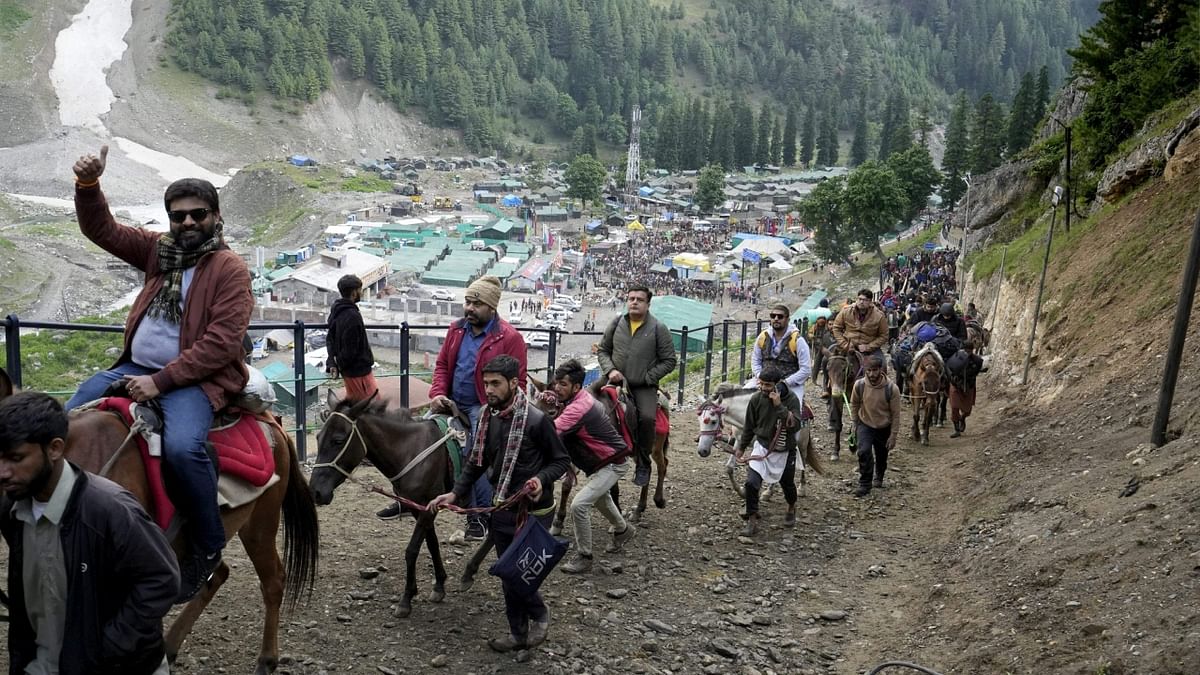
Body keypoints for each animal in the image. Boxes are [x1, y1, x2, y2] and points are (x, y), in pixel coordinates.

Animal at [0, 367, 319, 672]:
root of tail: (272, 422)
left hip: (260, 523)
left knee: (273, 581)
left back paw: (266, 660)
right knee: (214, 575)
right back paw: (172, 646)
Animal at [309, 391, 458, 619]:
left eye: (338, 440)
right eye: (318, 438)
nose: (316, 491)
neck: (411, 450)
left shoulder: (427, 509)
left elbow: (412, 550)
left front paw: (406, 599)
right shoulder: (420, 508)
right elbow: (431, 543)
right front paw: (439, 585)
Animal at [696, 384, 825, 494]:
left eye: (713, 421)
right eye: (699, 421)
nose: (702, 451)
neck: (746, 415)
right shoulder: (739, 441)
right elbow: (729, 468)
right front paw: (741, 491)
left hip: (801, 443)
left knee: (802, 461)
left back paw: (800, 489)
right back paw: (769, 492)